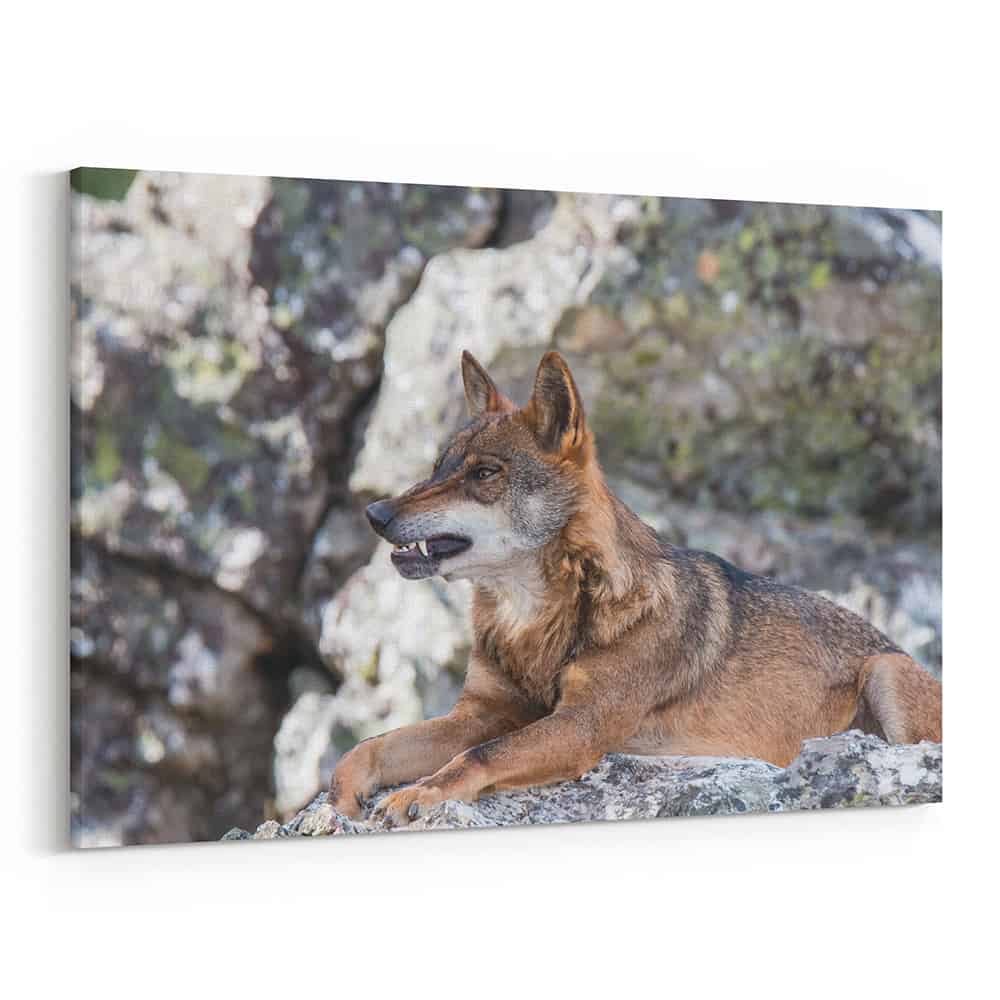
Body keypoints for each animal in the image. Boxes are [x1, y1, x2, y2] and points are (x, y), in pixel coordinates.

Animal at [329, 350, 942, 826]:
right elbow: (372, 745)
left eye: (484, 474)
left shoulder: (581, 726)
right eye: (438, 467)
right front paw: (342, 798)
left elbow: (477, 757)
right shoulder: (479, 713)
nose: (374, 514)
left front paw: (419, 793)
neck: (536, 619)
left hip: (887, 671)